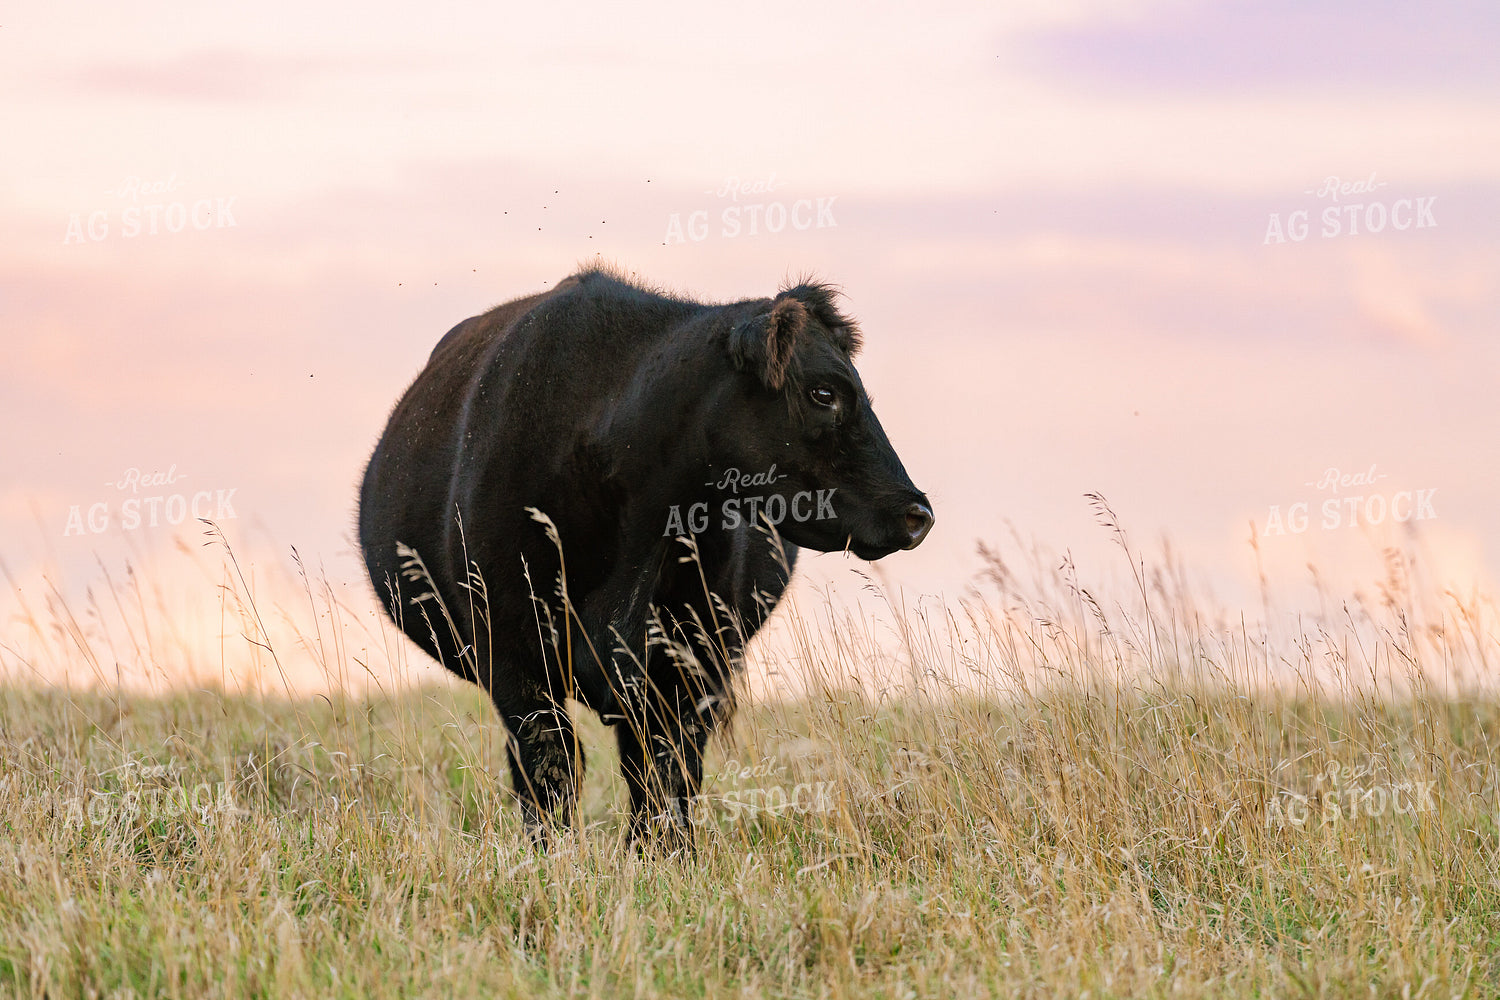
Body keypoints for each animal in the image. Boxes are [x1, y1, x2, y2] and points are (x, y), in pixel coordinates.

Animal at [357, 264, 932, 850]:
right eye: (823, 391)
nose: (918, 512)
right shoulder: (511, 651)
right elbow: (551, 766)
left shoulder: (695, 660)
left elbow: (664, 771)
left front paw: (665, 856)